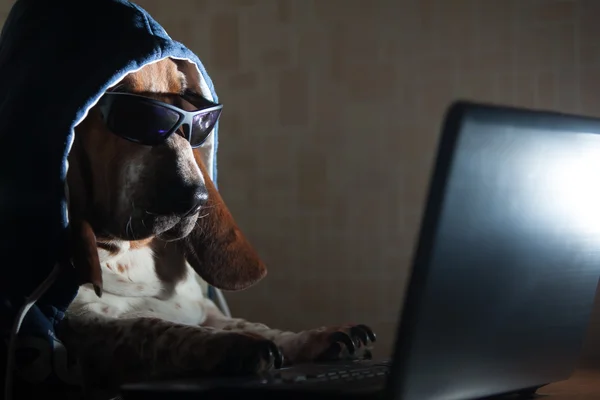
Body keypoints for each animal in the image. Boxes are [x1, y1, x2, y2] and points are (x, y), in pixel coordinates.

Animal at [56, 57, 376, 396]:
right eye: (133, 114)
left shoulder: (208, 312)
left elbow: (257, 326)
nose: (195, 198)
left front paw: (319, 336)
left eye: (190, 109)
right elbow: (155, 328)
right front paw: (237, 347)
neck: (132, 255)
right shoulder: (85, 328)